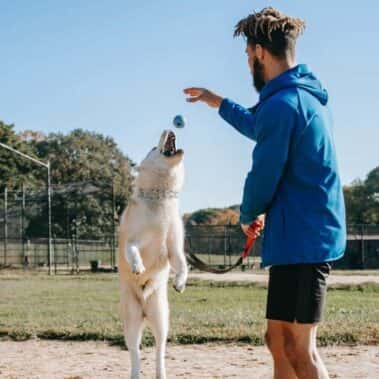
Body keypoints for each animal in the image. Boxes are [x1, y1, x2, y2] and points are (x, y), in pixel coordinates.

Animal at [119, 129, 189, 378]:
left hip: (161, 320)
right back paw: (135, 373)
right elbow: (132, 251)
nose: (169, 129)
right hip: (131, 323)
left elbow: (183, 264)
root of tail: (144, 312)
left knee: (160, 349)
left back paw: (161, 373)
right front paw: (138, 267)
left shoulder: (174, 247)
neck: (161, 198)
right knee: (135, 352)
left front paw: (180, 282)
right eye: (152, 148)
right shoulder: (132, 240)